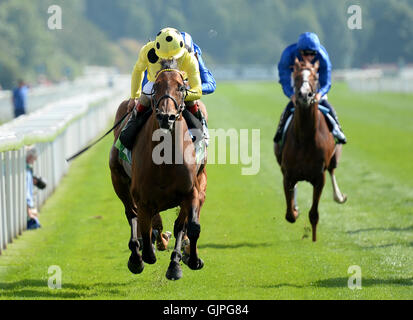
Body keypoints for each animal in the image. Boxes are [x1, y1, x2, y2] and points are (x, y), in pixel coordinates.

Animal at [108, 60, 208, 280]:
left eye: (181, 87)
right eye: (156, 86)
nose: (166, 116)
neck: (164, 161)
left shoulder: (190, 192)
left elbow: (190, 226)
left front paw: (184, 262)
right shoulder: (143, 198)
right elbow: (146, 229)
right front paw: (146, 253)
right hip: (119, 181)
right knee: (132, 215)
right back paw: (137, 257)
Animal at [276, 58, 346, 241]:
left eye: (315, 77)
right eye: (296, 76)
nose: (304, 95)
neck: (306, 138)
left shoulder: (319, 177)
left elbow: (314, 214)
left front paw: (313, 237)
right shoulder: (288, 174)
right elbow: (290, 214)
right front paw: (295, 209)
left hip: (335, 156)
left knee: (332, 170)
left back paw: (339, 196)